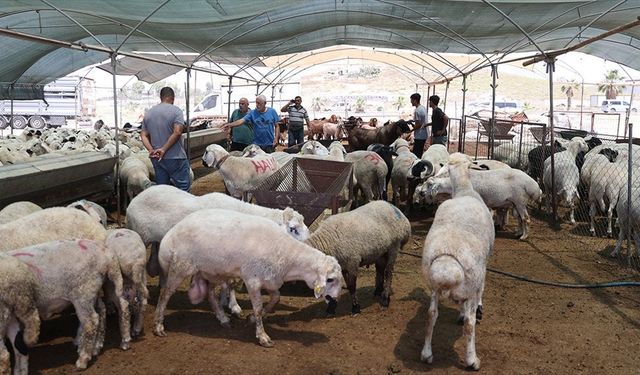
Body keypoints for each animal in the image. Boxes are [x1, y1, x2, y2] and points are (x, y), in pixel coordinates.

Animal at [8, 241, 130, 370]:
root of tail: (105, 253)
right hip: (106, 284)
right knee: (119, 305)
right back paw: (121, 341)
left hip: (83, 293)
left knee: (91, 321)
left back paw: (83, 359)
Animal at [155, 207, 344, 348]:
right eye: (330, 279)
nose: (335, 300)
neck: (287, 256)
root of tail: (171, 233)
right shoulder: (252, 280)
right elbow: (259, 308)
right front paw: (262, 336)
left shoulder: (270, 280)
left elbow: (275, 299)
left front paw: (252, 319)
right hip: (180, 267)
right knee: (165, 294)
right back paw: (158, 326)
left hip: (212, 271)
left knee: (209, 293)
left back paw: (223, 318)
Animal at [420, 152, 496, 370]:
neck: (464, 190)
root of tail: (448, 265)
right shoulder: (483, 268)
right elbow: (482, 290)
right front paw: (476, 310)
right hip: (471, 282)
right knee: (470, 325)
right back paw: (472, 360)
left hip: (434, 287)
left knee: (431, 314)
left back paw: (426, 354)